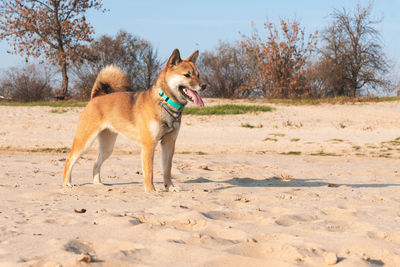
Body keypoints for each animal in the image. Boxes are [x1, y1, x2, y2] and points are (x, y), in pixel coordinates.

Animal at [63, 49, 206, 193]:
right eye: (187, 75)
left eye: (198, 75)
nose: (204, 85)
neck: (164, 102)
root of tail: (96, 97)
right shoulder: (149, 144)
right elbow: (149, 171)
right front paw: (151, 190)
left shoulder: (169, 143)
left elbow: (167, 170)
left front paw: (170, 187)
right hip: (85, 141)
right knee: (69, 159)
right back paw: (67, 183)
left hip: (107, 147)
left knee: (96, 163)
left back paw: (97, 183)